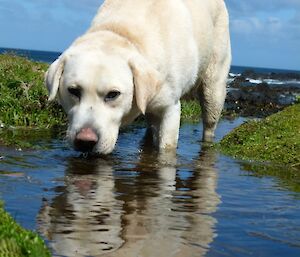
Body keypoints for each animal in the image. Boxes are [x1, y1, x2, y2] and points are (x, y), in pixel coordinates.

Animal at [45, 0, 231, 154]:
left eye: (113, 94)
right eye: (73, 91)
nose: (85, 141)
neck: (122, 33)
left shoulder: (170, 109)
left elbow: (167, 147)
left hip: (214, 85)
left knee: (209, 121)